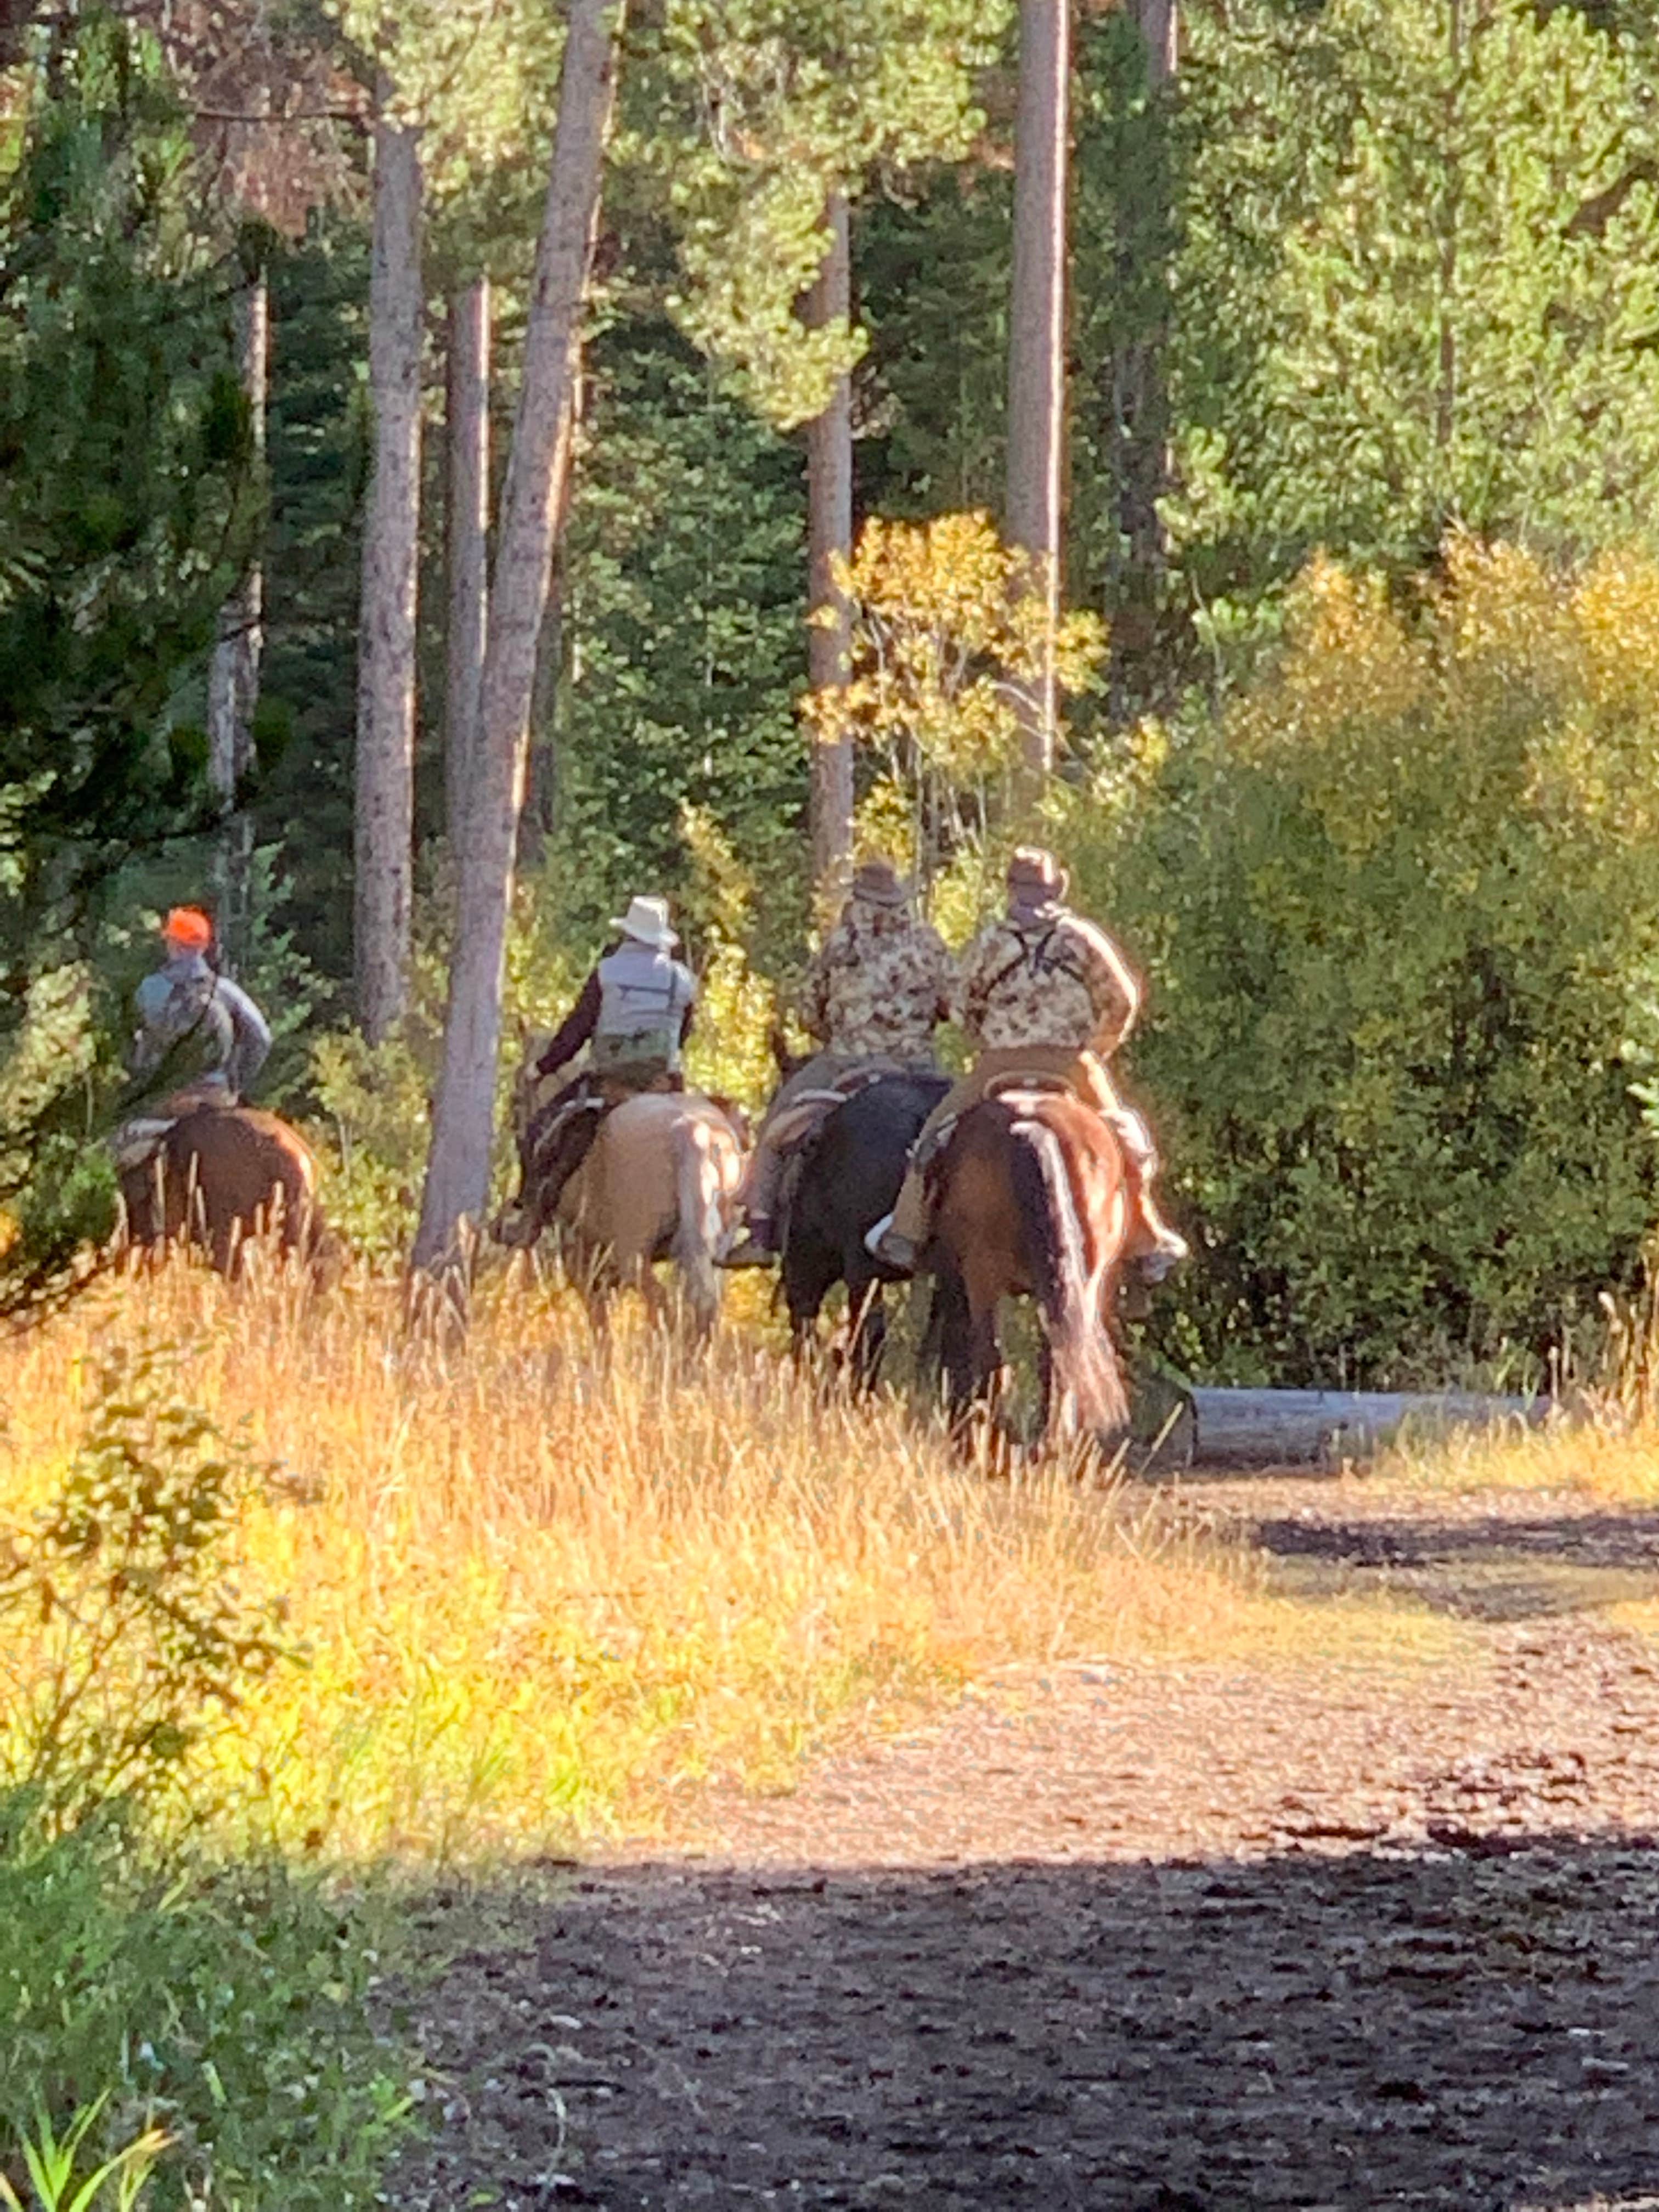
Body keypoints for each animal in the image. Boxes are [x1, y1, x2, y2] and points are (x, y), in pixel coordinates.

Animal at [498, 1066, 745, 1339]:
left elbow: (599, 1314)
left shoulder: (583, 1254)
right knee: (702, 1302)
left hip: (632, 1251)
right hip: (709, 1249)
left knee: (659, 1300)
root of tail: (689, 1129)